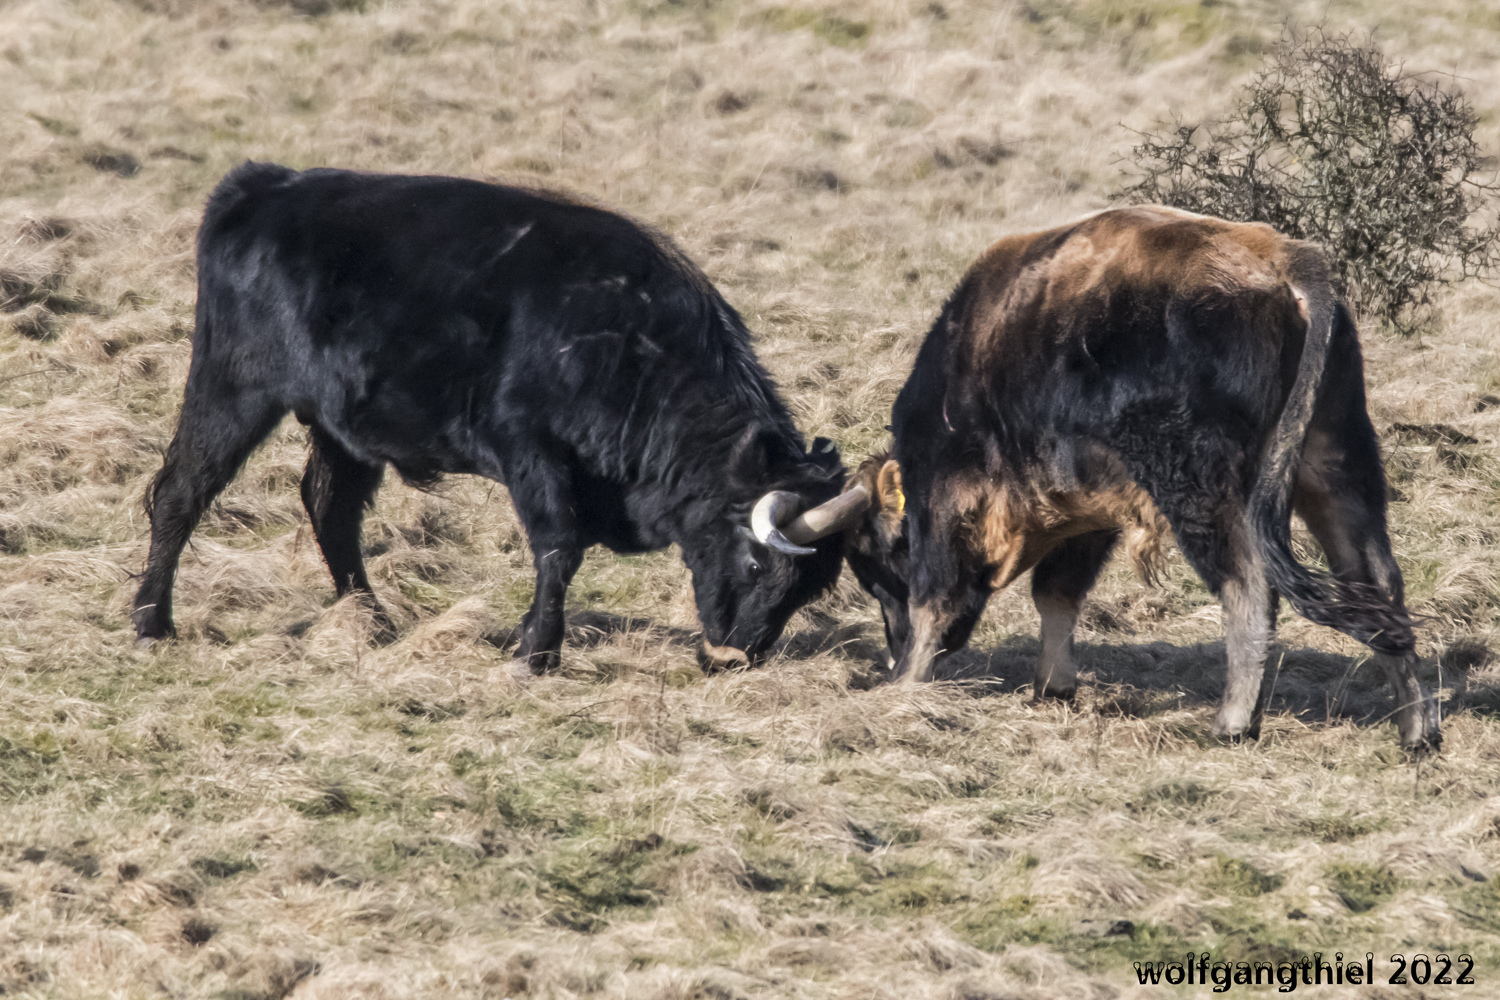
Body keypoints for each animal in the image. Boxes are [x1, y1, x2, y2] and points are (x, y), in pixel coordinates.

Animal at [138, 166, 876, 671]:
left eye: (810, 591)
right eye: (755, 564)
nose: (732, 661)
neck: (626, 338)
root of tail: (262, 186)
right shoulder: (533, 455)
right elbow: (559, 548)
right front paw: (536, 652)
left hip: (340, 428)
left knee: (330, 508)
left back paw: (369, 620)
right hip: (231, 391)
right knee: (180, 491)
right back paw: (151, 622)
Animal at [846, 205, 1440, 749]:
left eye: (878, 555)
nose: (892, 649)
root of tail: (1282, 259)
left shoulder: (948, 501)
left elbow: (936, 597)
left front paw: (907, 683)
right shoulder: (1083, 511)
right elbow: (1056, 595)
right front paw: (1053, 687)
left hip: (1204, 493)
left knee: (1249, 587)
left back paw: (1232, 722)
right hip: (1337, 466)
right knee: (1376, 583)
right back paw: (1415, 727)